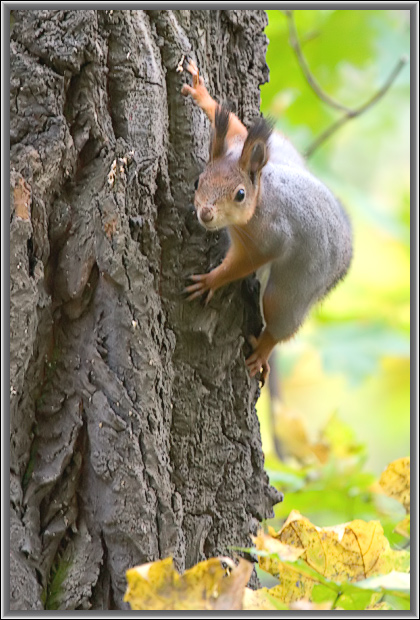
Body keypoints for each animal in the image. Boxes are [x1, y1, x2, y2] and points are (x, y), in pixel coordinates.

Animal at [179, 57, 352, 382]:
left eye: (240, 195)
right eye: (197, 182)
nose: (205, 214)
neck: (262, 196)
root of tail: (345, 260)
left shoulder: (267, 239)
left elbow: (243, 263)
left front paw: (211, 280)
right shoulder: (238, 143)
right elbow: (236, 126)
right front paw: (201, 93)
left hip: (297, 286)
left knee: (280, 320)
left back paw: (263, 350)